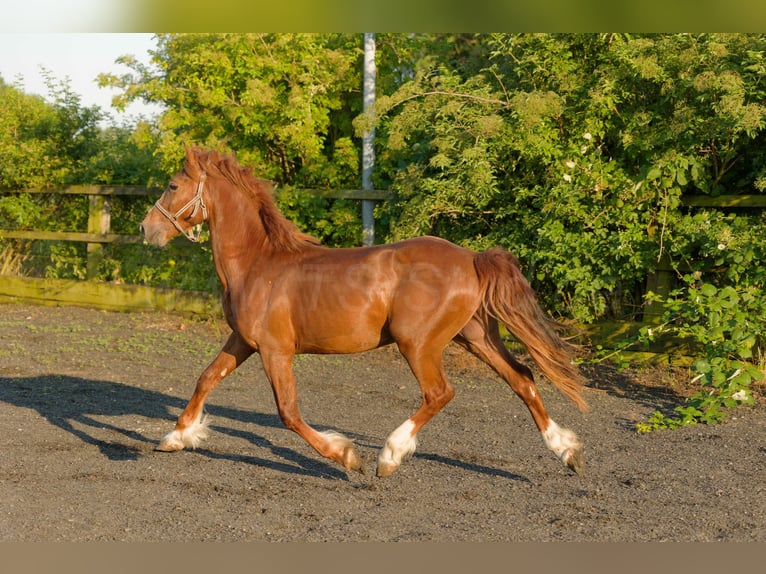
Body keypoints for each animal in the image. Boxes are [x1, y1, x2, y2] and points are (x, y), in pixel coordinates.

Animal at [140, 145, 588, 477]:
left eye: (173, 185)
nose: (147, 230)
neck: (257, 263)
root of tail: (472, 258)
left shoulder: (274, 350)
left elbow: (288, 412)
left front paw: (346, 455)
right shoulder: (243, 341)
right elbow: (205, 379)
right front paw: (175, 438)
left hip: (418, 344)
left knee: (440, 392)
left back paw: (389, 455)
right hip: (476, 336)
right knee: (523, 378)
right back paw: (566, 450)